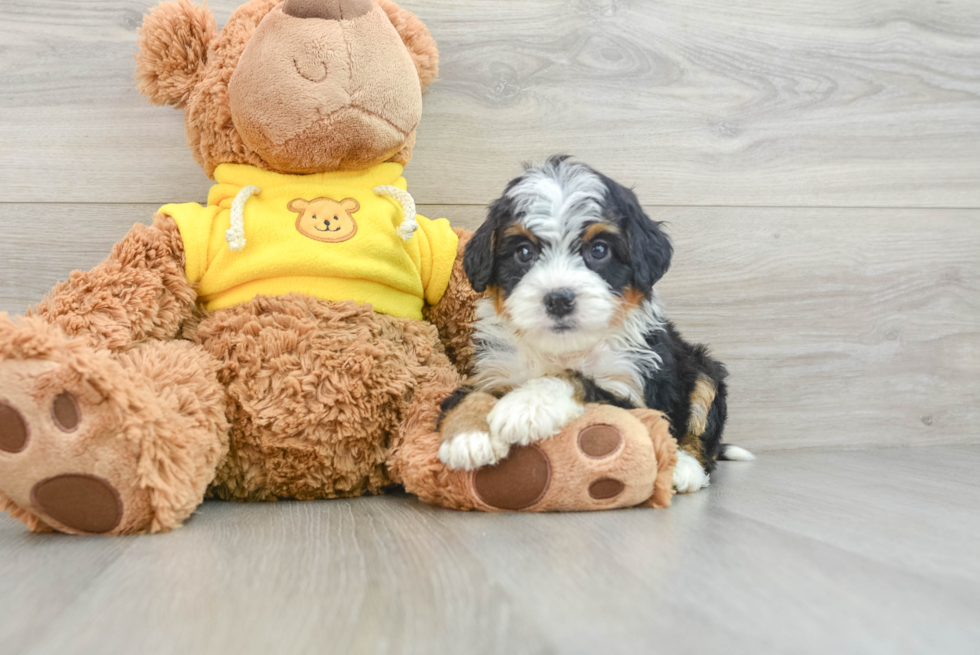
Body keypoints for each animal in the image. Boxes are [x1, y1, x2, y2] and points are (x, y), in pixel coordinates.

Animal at [436, 155, 752, 492]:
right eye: (524, 252)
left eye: (599, 250)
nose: (559, 299)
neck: (563, 348)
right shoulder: (492, 370)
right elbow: (470, 394)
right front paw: (468, 437)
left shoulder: (633, 396)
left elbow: (575, 379)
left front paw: (526, 404)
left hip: (703, 369)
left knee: (702, 437)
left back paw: (685, 467)